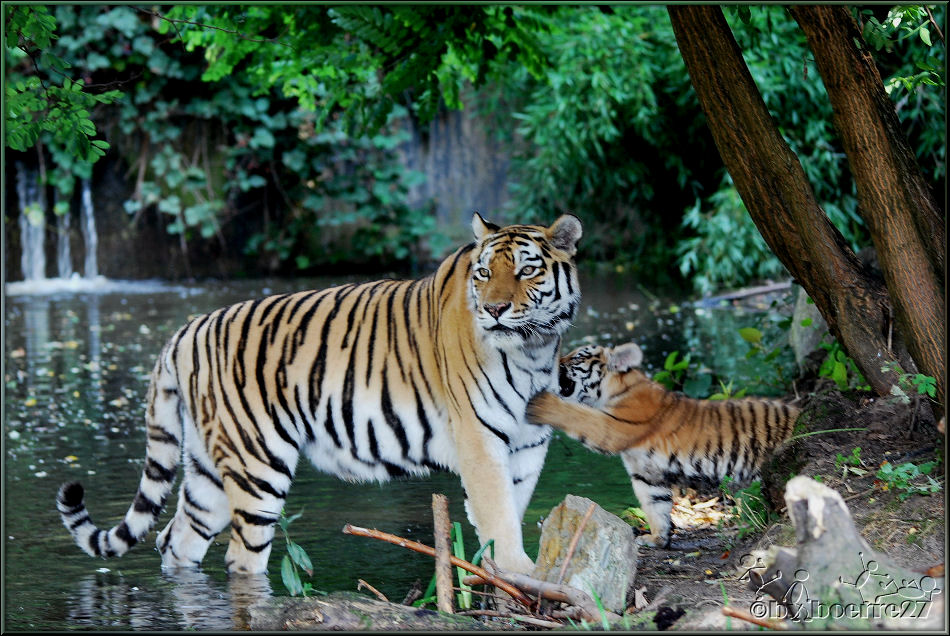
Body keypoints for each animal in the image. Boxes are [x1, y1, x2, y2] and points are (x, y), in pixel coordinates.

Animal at [57, 214, 588, 576]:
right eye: (483, 274)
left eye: (526, 272)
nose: (494, 310)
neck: (534, 349)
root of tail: (185, 331)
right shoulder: (480, 441)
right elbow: (498, 513)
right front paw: (519, 574)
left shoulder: (527, 443)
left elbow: (512, 507)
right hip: (256, 465)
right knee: (242, 555)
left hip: (208, 467)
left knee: (178, 538)